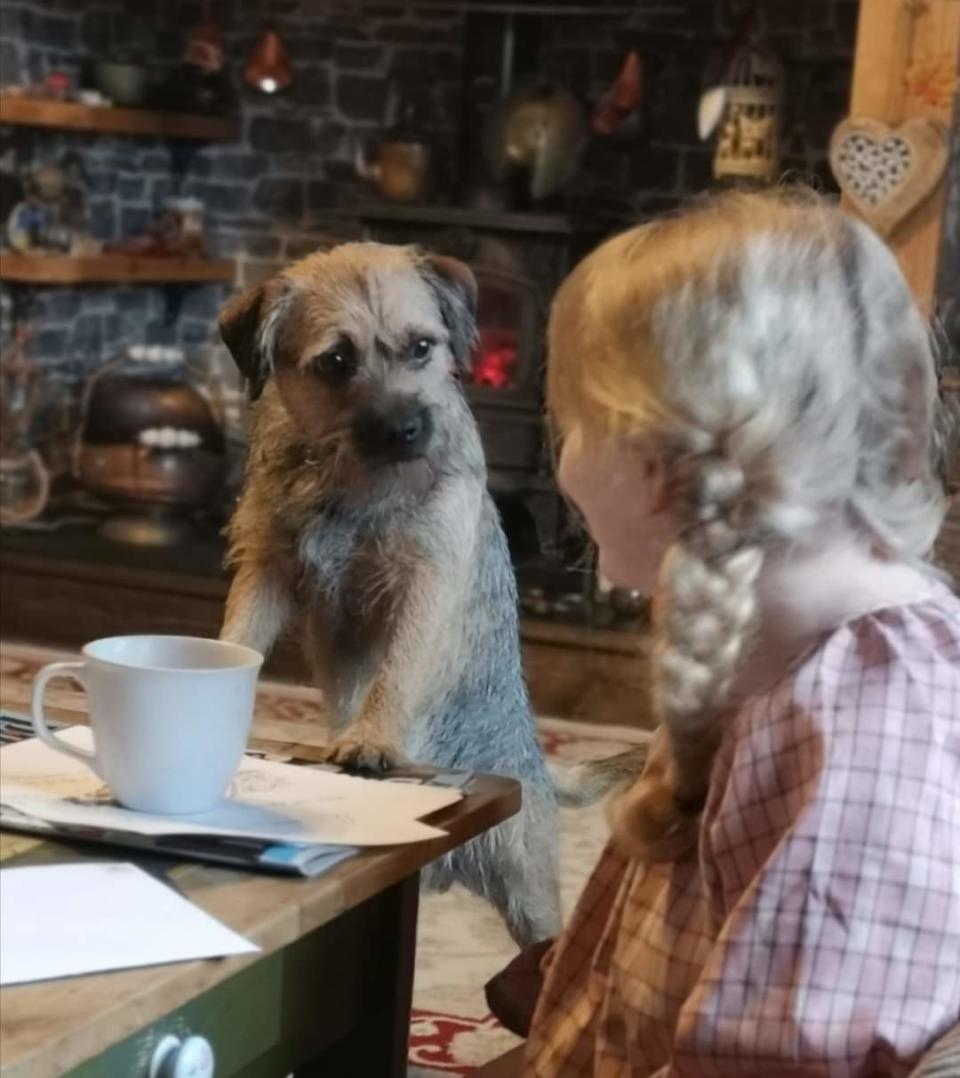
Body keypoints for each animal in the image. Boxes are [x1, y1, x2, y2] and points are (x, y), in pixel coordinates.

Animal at [215, 242, 637, 944]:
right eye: (336, 361)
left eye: (421, 347)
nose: (408, 429)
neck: (351, 482)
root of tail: (537, 770)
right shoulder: (266, 569)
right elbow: (237, 641)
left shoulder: (424, 579)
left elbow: (399, 667)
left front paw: (373, 740)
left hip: (528, 888)